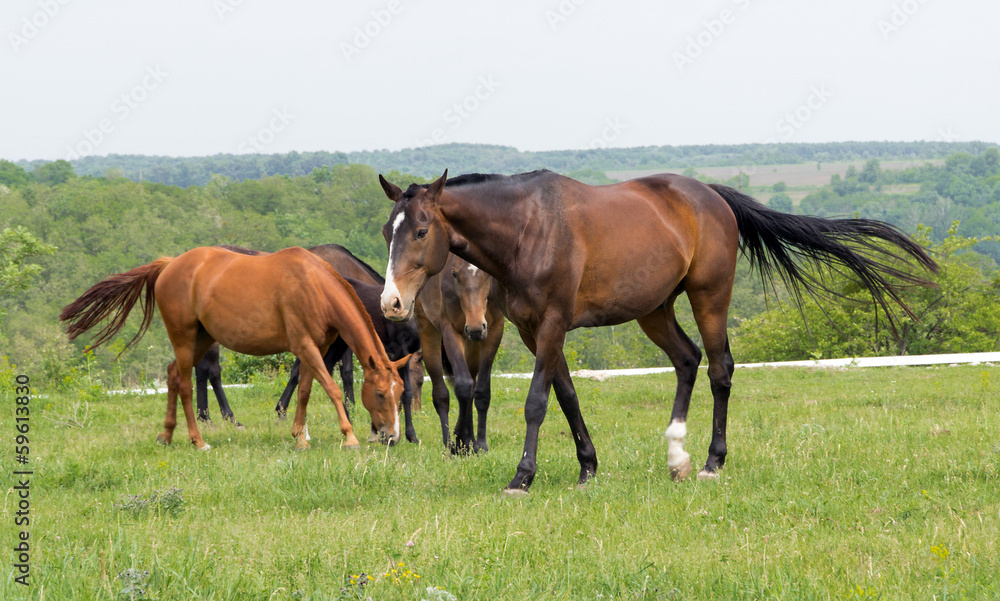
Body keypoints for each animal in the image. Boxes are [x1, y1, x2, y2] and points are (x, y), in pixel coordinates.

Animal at [61, 246, 410, 448]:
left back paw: (168, 434)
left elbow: (306, 391)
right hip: (185, 339)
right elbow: (332, 389)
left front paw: (300, 437)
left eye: (399, 392)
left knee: (173, 376)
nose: (392, 436)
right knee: (185, 384)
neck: (314, 284)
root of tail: (169, 264)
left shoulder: (317, 348)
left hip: (201, 339)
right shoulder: (306, 346)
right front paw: (348, 436)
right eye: (380, 394)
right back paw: (198, 440)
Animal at [416, 251, 504, 452]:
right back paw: (450, 444)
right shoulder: (451, 330)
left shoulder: (494, 330)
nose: (475, 328)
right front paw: (459, 441)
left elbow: (481, 391)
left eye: (488, 274)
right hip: (429, 332)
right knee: (441, 395)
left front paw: (479, 444)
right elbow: (463, 386)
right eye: (454, 274)